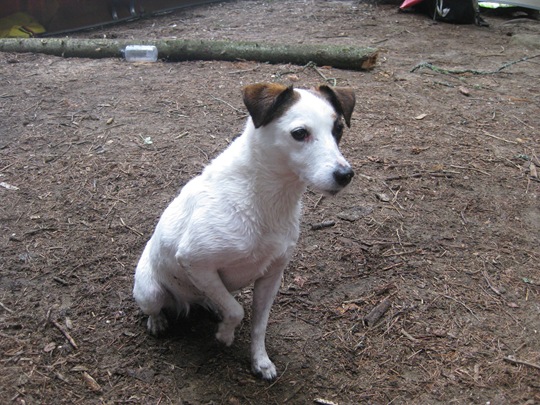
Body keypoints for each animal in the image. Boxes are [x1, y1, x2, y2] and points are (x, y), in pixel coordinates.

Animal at [133, 83, 355, 380]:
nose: (345, 175)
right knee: (156, 306)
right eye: (300, 133)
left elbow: (258, 324)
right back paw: (158, 321)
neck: (264, 197)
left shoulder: (271, 277)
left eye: (338, 129)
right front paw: (226, 335)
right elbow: (237, 310)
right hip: (151, 291)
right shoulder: (194, 260)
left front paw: (259, 360)